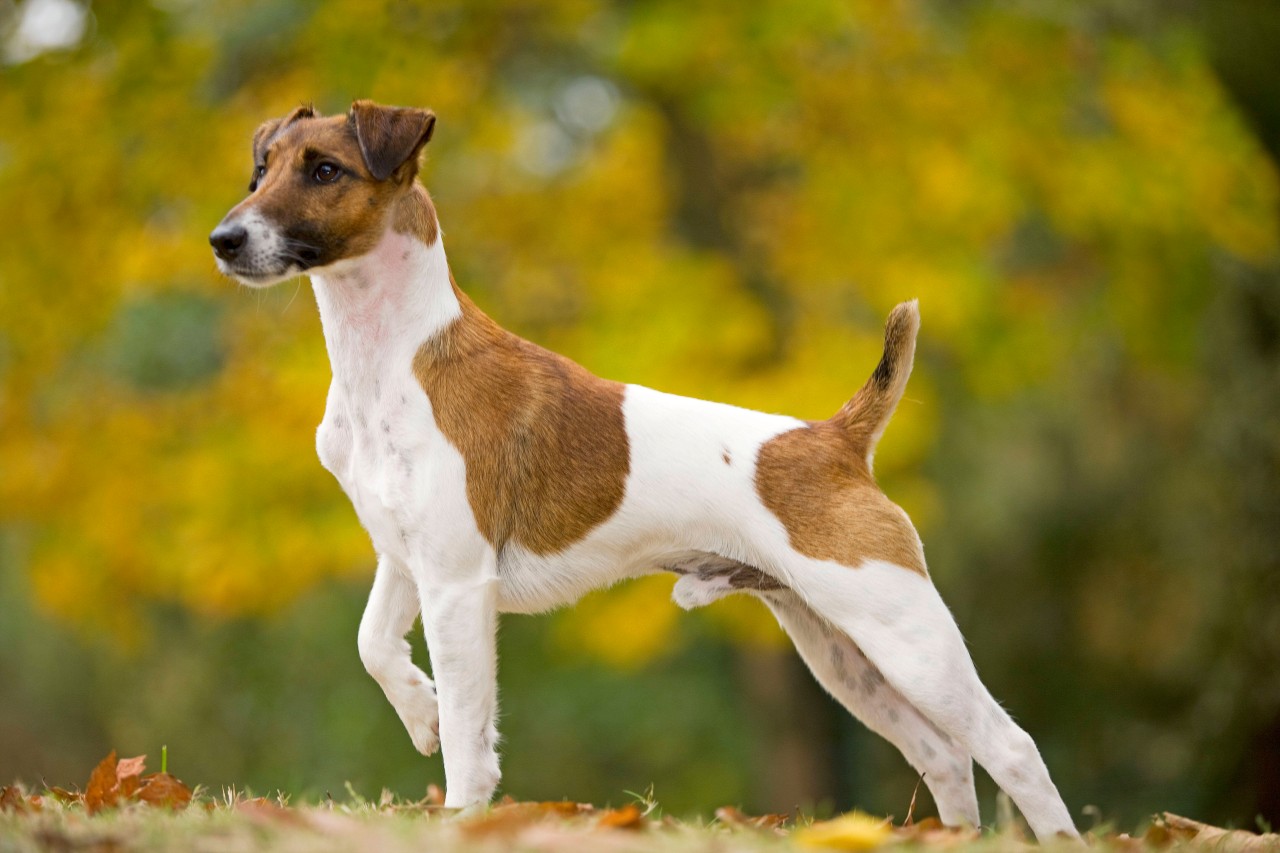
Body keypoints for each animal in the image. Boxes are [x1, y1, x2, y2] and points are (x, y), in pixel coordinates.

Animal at [212, 96, 1080, 835]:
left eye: (325, 170)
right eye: (261, 171)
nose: (224, 238)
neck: (395, 356)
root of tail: (837, 438)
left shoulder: (457, 582)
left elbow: (468, 727)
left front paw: (461, 809)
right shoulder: (404, 557)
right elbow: (375, 646)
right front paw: (419, 710)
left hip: (903, 634)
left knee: (1011, 747)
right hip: (841, 650)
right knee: (944, 755)